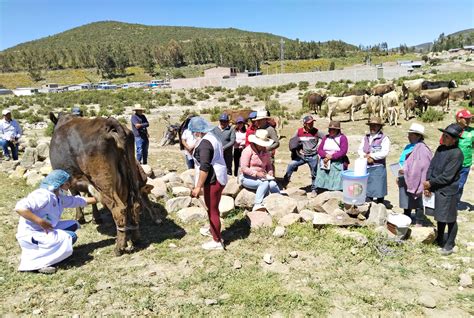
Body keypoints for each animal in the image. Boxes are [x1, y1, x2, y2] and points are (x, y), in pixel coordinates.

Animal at [49, 113, 158, 255]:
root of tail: (109, 125)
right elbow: (90, 198)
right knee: (134, 205)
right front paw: (96, 218)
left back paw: (119, 248)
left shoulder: (70, 180)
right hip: (129, 179)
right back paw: (135, 238)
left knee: (119, 209)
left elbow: (76, 196)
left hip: (103, 182)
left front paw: (80, 218)